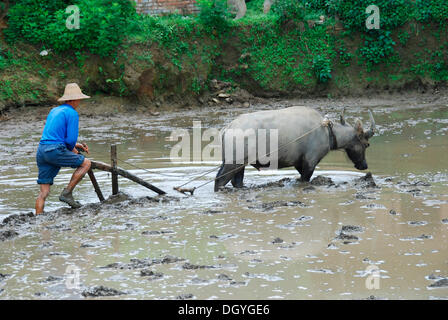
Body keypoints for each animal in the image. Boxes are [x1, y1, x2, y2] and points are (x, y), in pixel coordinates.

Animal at [215, 106, 376, 191]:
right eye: (366, 144)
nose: (364, 165)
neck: (328, 132)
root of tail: (227, 128)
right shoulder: (310, 162)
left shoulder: (299, 163)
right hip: (232, 163)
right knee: (219, 180)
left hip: (239, 165)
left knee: (237, 182)